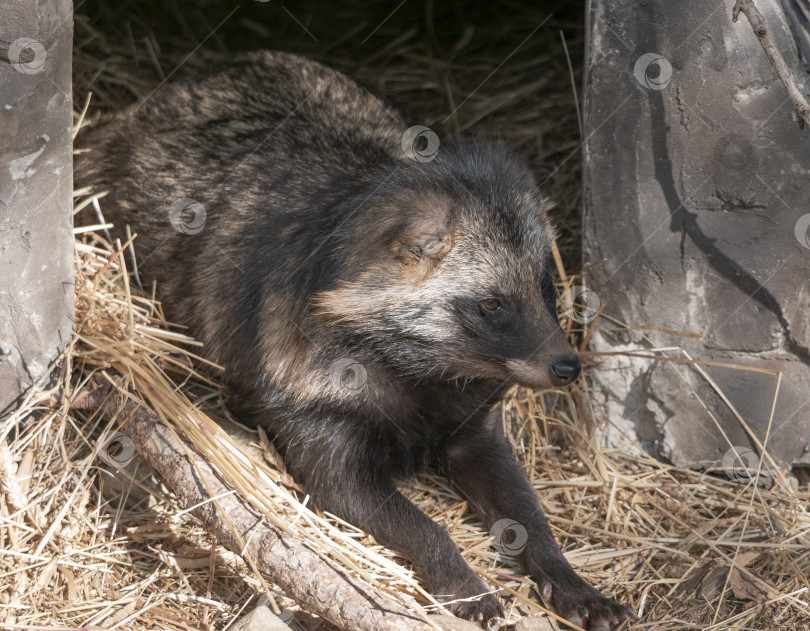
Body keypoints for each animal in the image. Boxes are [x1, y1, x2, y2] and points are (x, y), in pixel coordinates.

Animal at [76, 53, 632, 631]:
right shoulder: (319, 427)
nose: (568, 367)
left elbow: (532, 518)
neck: (416, 374)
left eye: (547, 286)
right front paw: (461, 579)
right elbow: (420, 524)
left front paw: (572, 582)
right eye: (493, 304)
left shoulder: (475, 431)